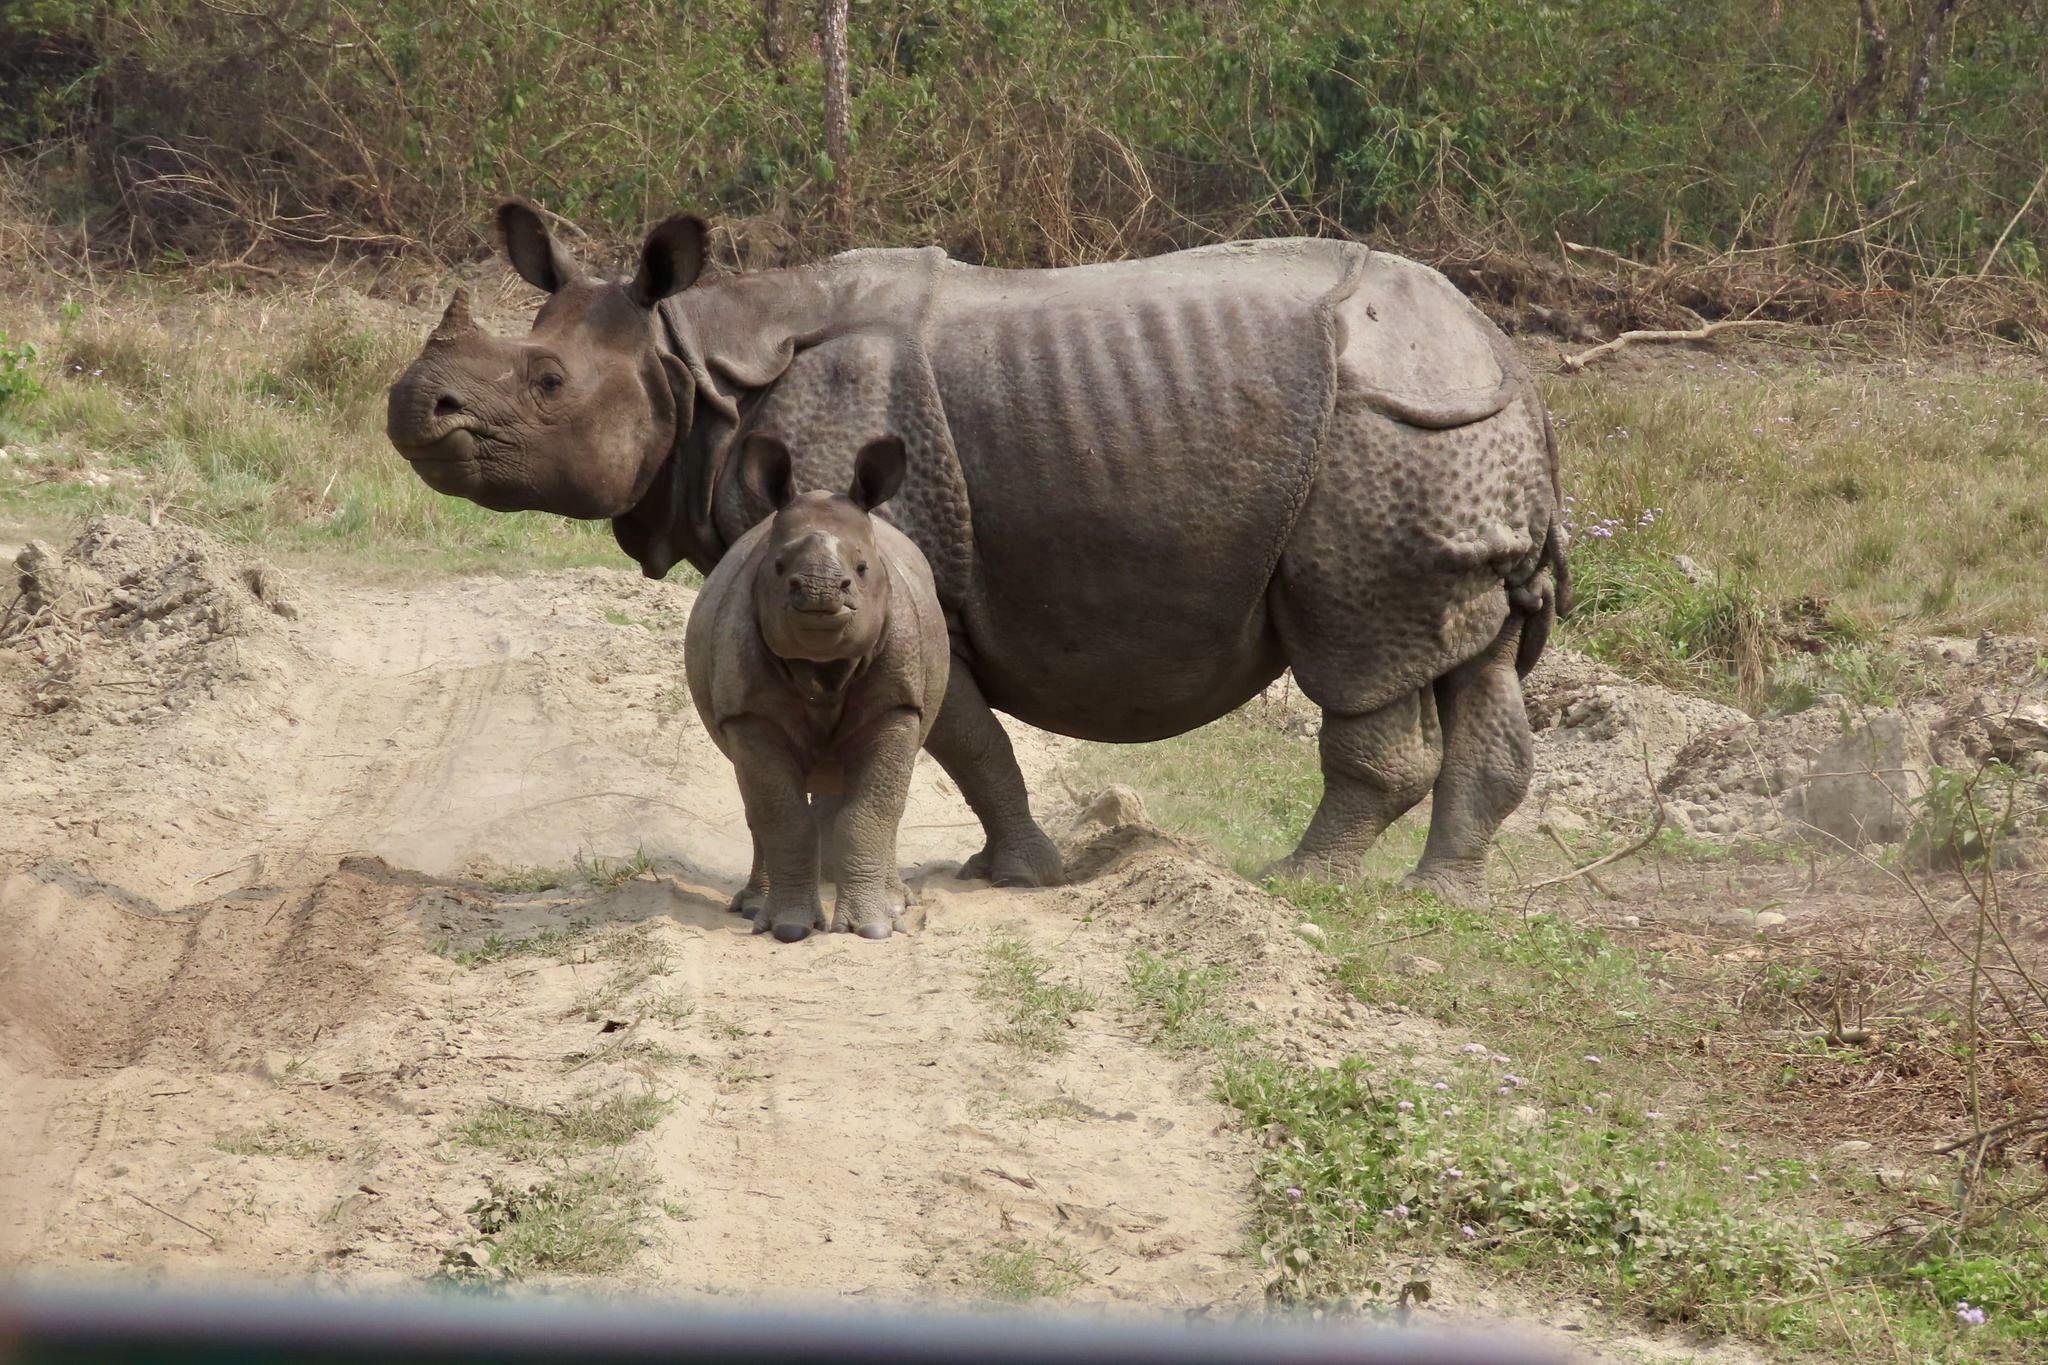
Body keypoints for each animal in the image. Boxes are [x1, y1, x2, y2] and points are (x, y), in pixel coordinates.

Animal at [685, 433, 948, 943]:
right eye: (778, 565)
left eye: (863, 568)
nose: (820, 590)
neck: (825, 666)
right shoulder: (747, 713)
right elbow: (782, 816)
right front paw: (788, 928)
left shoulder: (897, 704)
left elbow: (872, 810)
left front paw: (873, 928)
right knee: (756, 805)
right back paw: (753, 906)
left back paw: (897, 902)